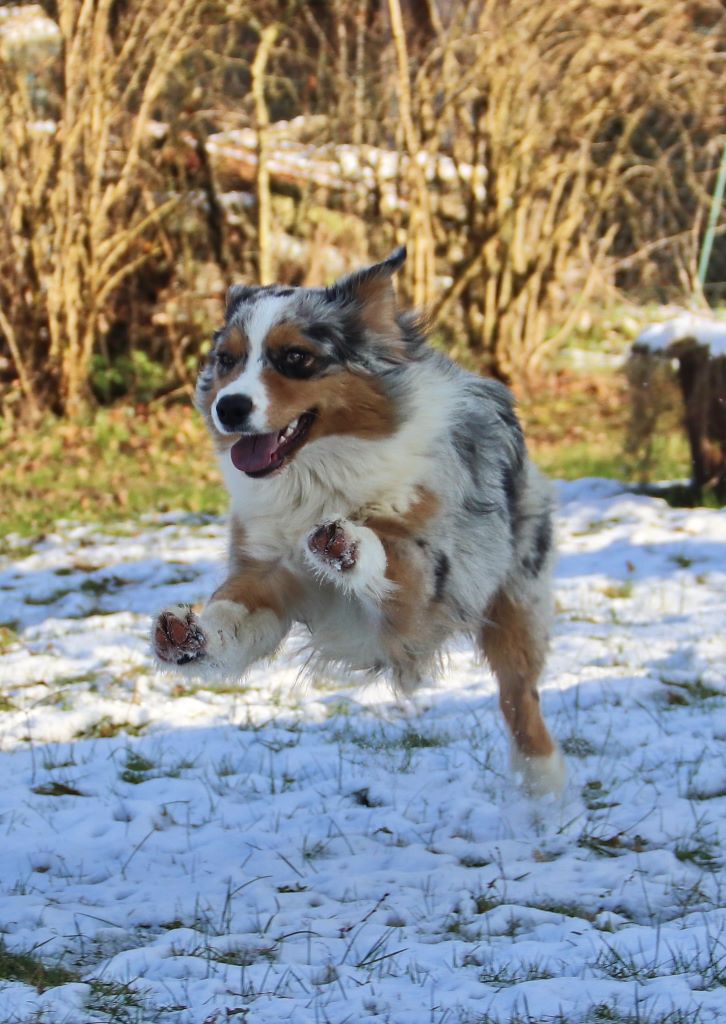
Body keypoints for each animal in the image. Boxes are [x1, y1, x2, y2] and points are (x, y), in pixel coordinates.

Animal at [150, 247, 565, 790]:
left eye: (296, 358)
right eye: (227, 359)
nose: (230, 407)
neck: (316, 478)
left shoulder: (428, 590)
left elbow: (391, 554)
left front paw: (346, 544)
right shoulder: (268, 571)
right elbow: (233, 612)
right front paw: (190, 635)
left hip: (517, 601)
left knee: (522, 705)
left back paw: (544, 793)